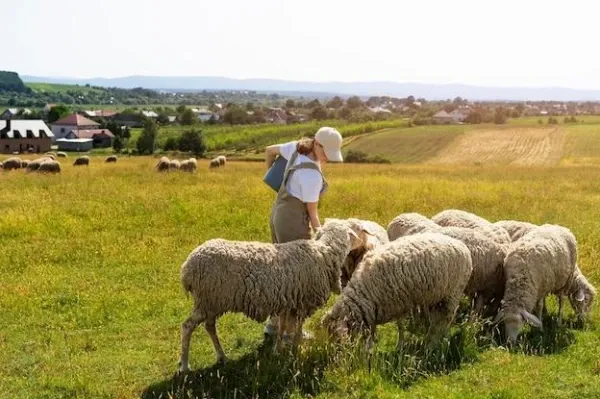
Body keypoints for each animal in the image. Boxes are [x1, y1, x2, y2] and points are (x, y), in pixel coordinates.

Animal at [178, 217, 364, 370]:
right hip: (208, 300)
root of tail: (187, 267)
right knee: (187, 326)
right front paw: (295, 349)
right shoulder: (303, 303)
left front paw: (278, 350)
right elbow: (297, 330)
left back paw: (221, 356)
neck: (325, 253)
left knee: (209, 326)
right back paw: (185, 365)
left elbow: (282, 327)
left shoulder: (288, 301)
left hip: (211, 302)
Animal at [324, 233, 474, 352]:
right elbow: (396, 325)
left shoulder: (398, 303)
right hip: (437, 295)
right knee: (438, 319)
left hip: (453, 294)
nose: (336, 359)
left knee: (446, 318)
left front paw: (397, 346)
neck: (366, 293)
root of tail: (461, 244)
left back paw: (433, 345)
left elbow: (400, 326)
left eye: (337, 338)